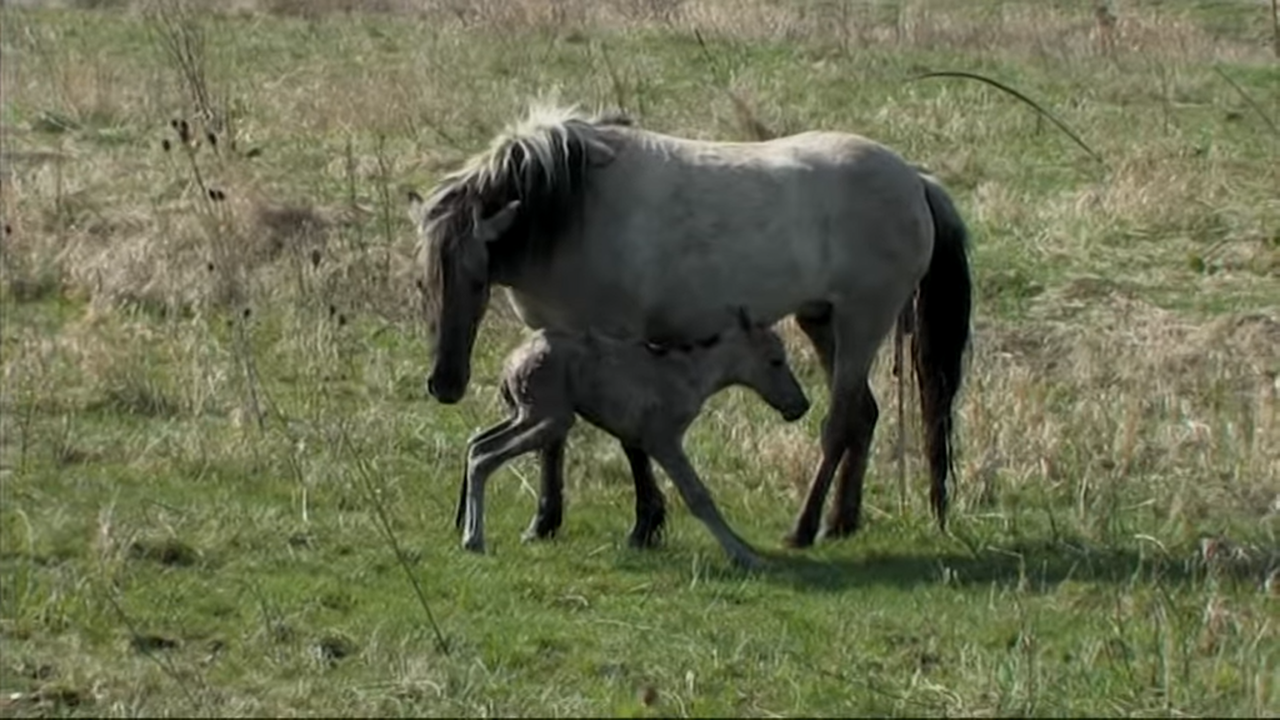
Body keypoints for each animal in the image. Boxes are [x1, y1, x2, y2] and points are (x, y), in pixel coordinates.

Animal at [455, 307, 803, 566]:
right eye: (775, 360)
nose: (800, 405)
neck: (689, 373)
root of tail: (511, 363)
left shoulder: (637, 439)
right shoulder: (663, 440)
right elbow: (697, 496)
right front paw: (744, 555)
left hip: (525, 416)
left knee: (476, 445)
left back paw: (467, 531)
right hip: (551, 419)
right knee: (485, 457)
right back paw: (474, 539)